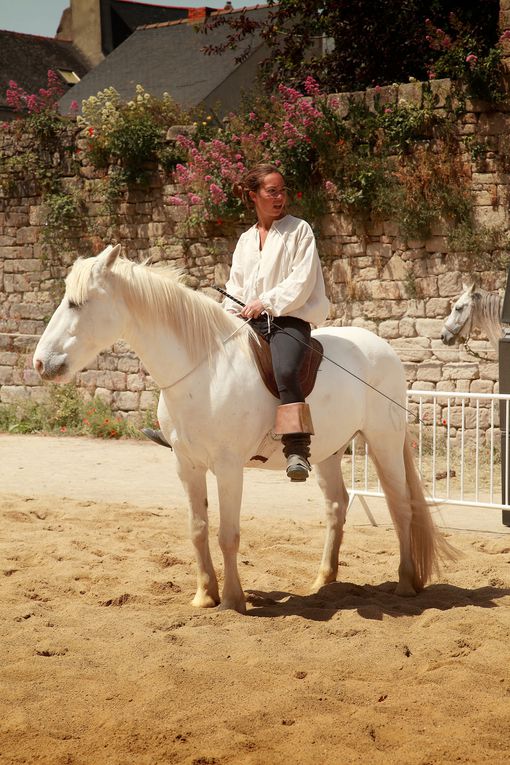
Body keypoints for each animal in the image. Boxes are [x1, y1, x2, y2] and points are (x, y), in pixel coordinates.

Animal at [33, 248, 452, 612]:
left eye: (76, 303)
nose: (40, 362)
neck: (204, 370)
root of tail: (384, 348)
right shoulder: (187, 466)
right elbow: (198, 528)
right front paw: (205, 596)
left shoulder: (229, 467)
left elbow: (227, 534)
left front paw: (233, 601)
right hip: (329, 452)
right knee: (337, 506)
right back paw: (322, 581)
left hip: (383, 441)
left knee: (401, 506)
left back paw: (405, 582)